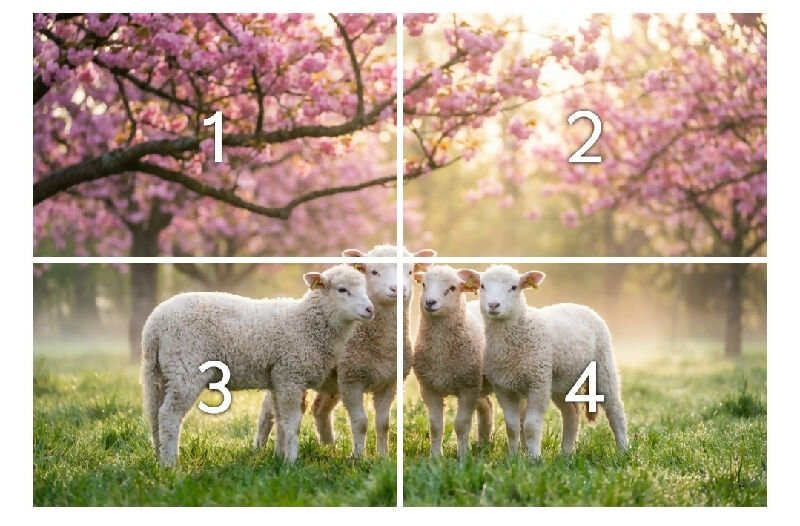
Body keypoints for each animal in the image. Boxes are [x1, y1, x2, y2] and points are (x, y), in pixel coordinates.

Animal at [141, 265, 374, 466]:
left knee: (154, 414)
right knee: (168, 415)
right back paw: (171, 463)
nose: (369, 309)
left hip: (159, 371)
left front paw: (279, 457)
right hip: (185, 367)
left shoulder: (278, 379)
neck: (307, 324)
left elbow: (280, 422)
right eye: (342, 289)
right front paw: (292, 461)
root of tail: (155, 324)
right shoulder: (290, 375)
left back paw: (159, 457)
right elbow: (292, 423)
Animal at [411, 265, 494, 458]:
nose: (430, 302)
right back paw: (483, 444)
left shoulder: (468, 388)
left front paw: (463, 457)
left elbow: (461, 424)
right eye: (424, 284)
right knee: (487, 406)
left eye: (452, 288)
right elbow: (435, 426)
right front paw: (435, 457)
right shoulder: (429, 387)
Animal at [458, 265, 628, 458]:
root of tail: (580, 305)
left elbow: (531, 426)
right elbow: (512, 427)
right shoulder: (503, 387)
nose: (493, 305)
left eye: (514, 287)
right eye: (483, 286)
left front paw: (534, 458)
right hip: (562, 380)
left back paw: (623, 450)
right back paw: (566, 453)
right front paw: (512, 458)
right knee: (571, 413)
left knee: (615, 408)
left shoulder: (538, 382)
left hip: (603, 364)